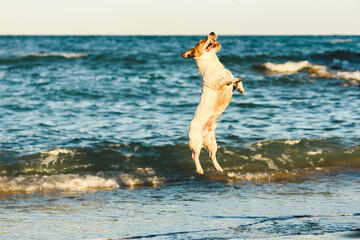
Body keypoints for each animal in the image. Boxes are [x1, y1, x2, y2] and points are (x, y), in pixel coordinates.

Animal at [181, 32, 243, 174]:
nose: (212, 32)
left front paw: (241, 87)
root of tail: (204, 140)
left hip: (213, 143)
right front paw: (233, 79)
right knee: (195, 156)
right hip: (196, 142)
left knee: (211, 156)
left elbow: (237, 82)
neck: (213, 65)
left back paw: (218, 168)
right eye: (201, 41)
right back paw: (199, 169)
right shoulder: (218, 82)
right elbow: (227, 79)